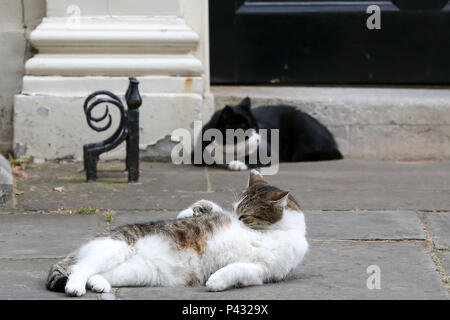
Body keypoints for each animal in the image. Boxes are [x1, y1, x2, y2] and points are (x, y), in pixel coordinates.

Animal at [45, 170, 308, 298]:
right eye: (236, 212)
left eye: (244, 215)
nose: (236, 218)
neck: (274, 231)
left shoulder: (264, 271)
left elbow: (237, 269)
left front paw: (216, 281)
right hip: (116, 248)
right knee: (80, 269)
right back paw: (75, 287)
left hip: (140, 271)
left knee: (99, 273)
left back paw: (99, 283)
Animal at [192, 97, 342, 171]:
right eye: (245, 130)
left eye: (257, 127)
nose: (259, 139)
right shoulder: (198, 152)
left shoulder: (269, 153)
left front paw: (238, 163)